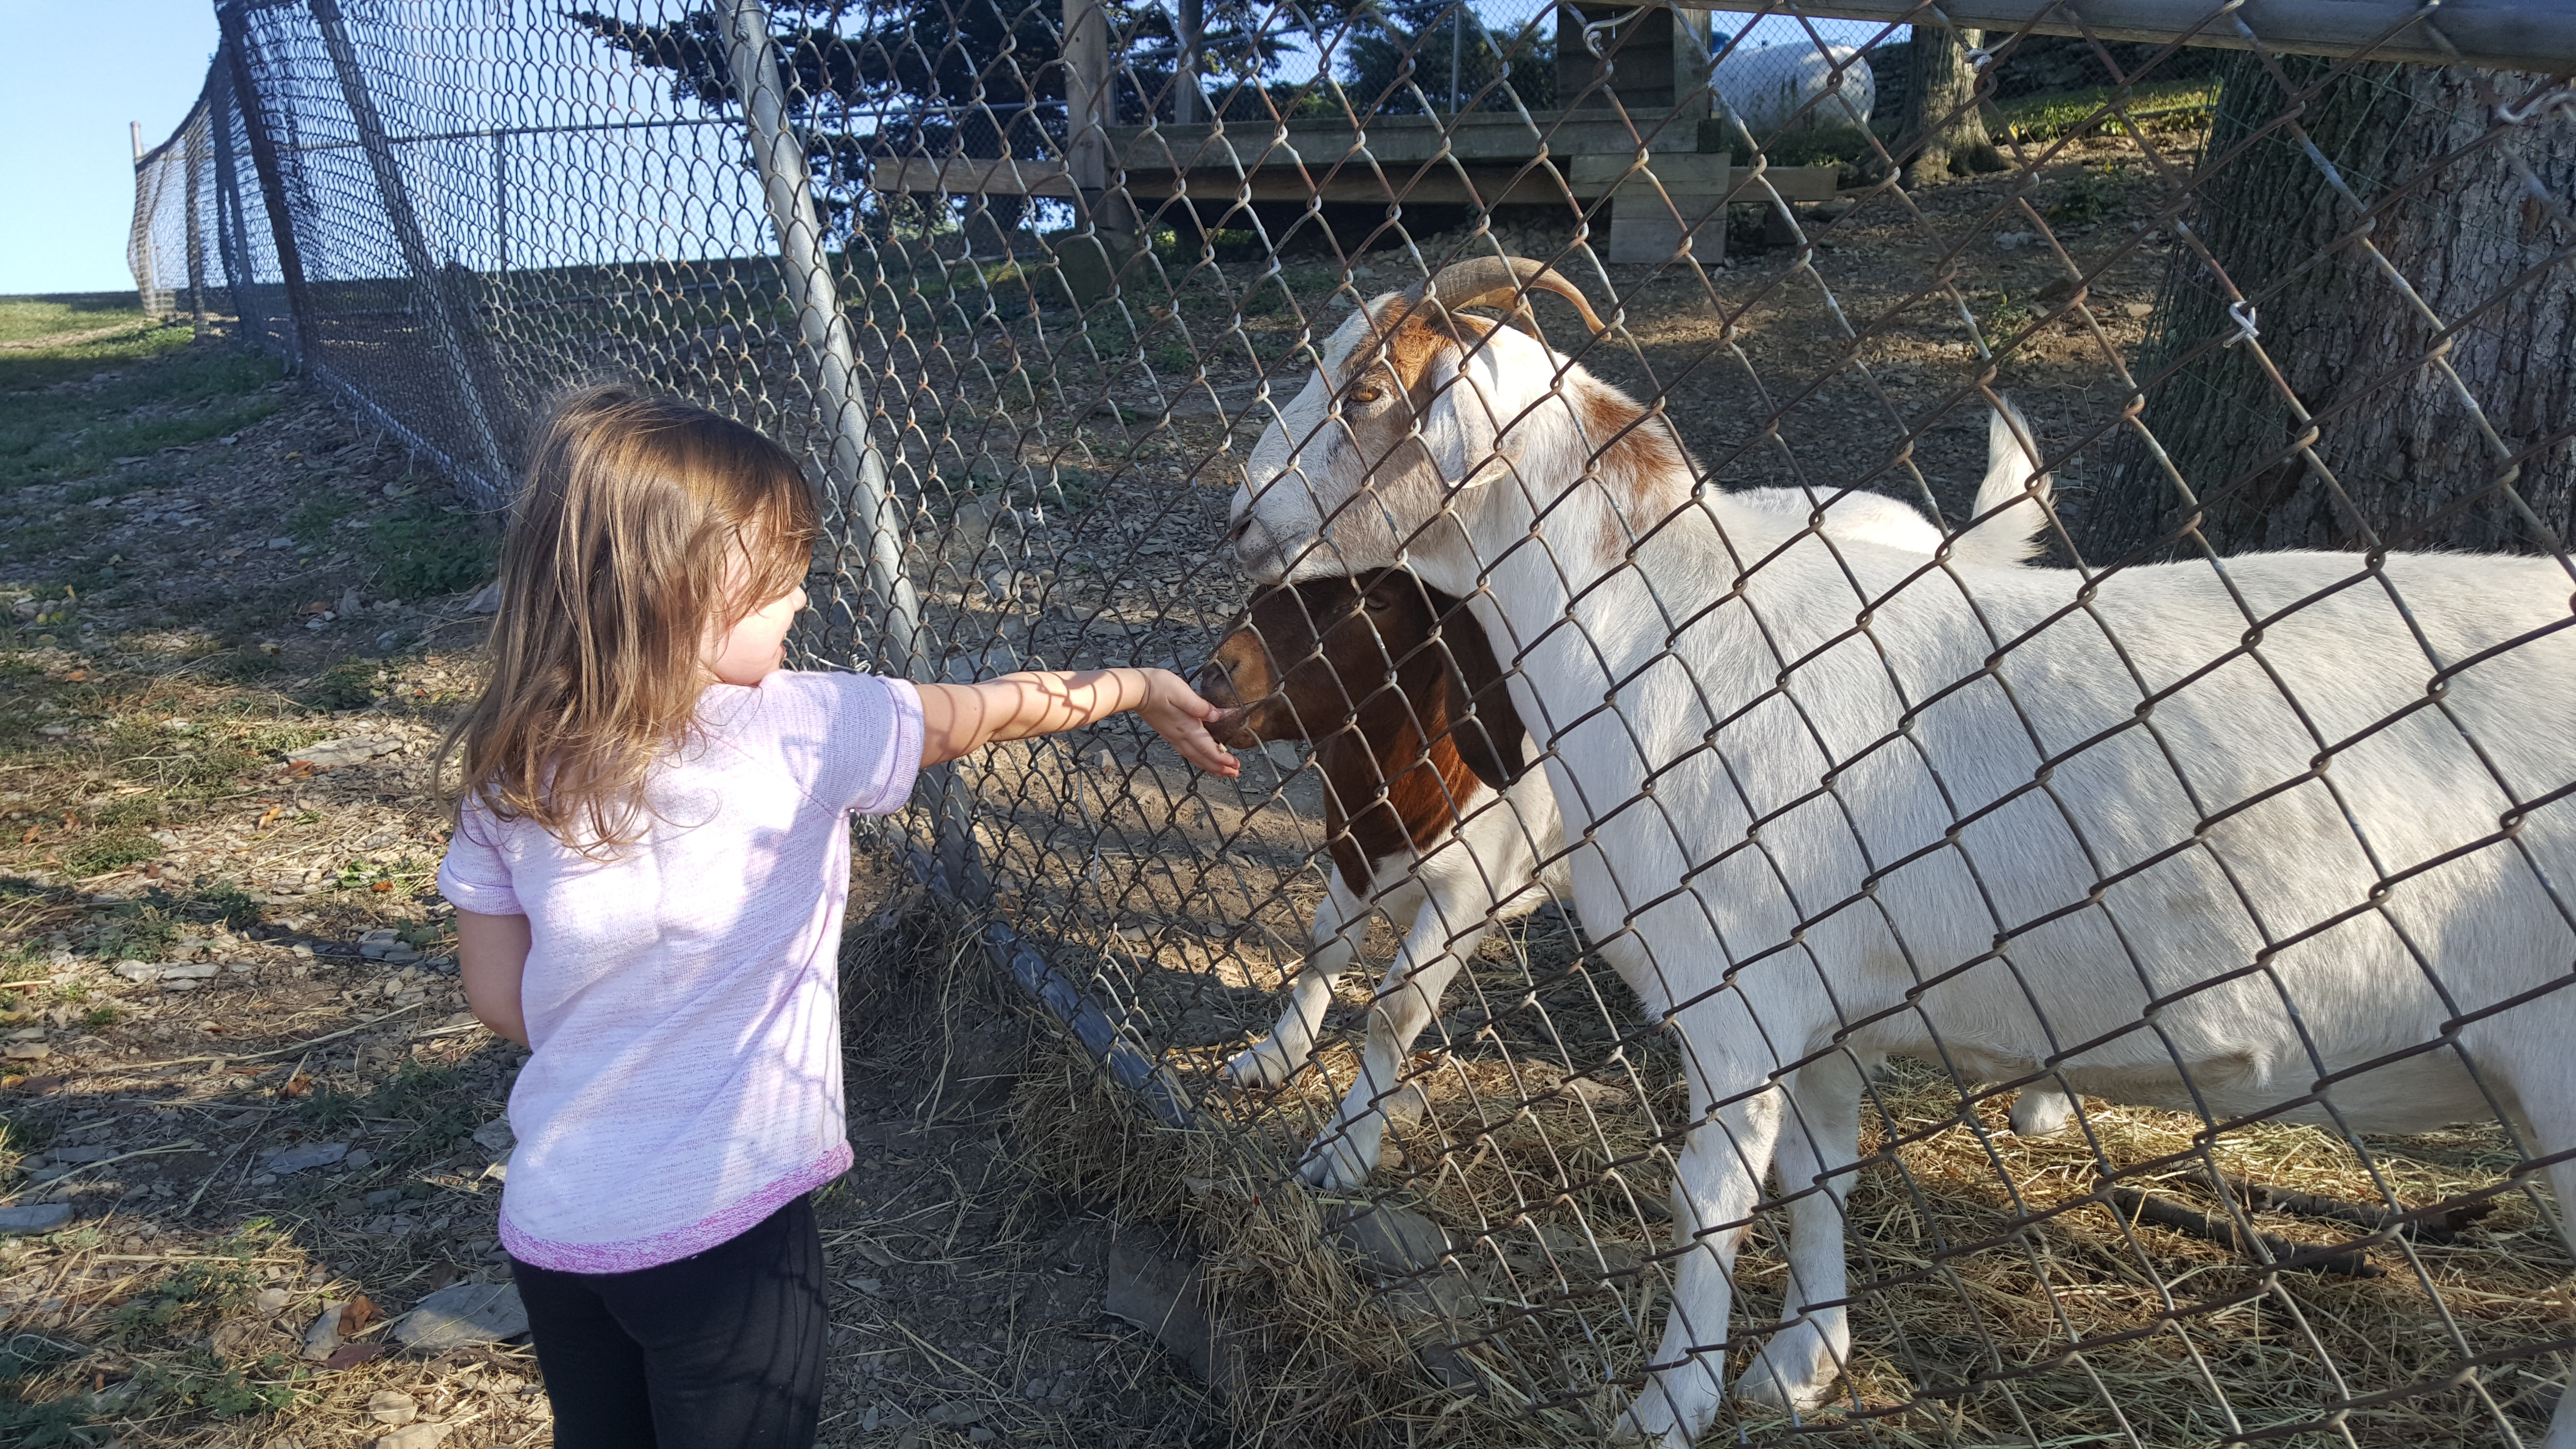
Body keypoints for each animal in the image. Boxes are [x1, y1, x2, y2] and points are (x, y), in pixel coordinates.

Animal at [1221, 254, 2576, 1433]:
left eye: (1363, 393)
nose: (1239, 514)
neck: (1676, 630)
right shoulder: (1827, 1005)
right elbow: (1816, 1179)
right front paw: (1799, 1366)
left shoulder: (1737, 993)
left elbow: (1707, 1199)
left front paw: (1670, 1405)